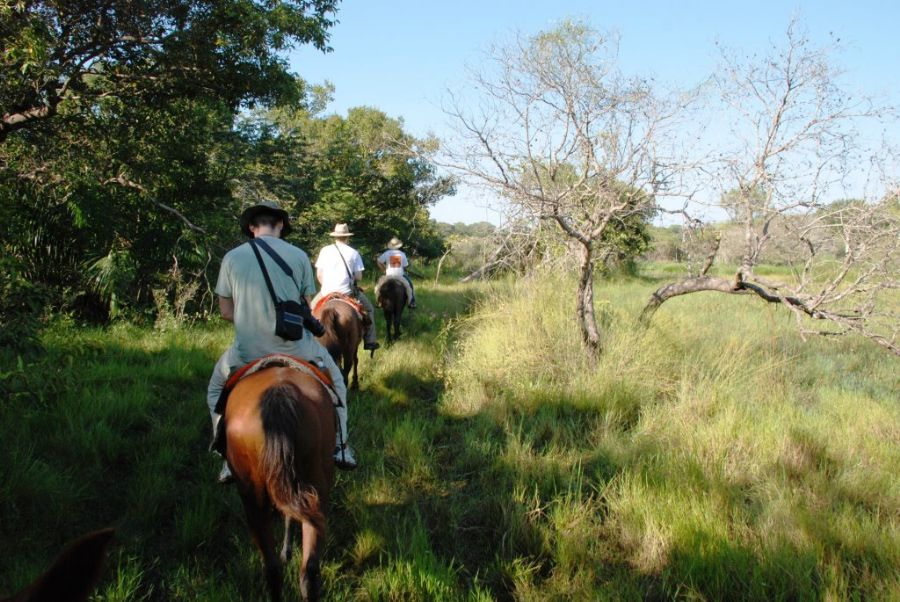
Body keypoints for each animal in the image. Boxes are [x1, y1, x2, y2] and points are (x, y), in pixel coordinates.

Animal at [225, 366, 338, 600]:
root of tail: (279, 392)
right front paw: (287, 550)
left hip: (253, 499)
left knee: (272, 567)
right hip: (316, 489)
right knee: (307, 569)